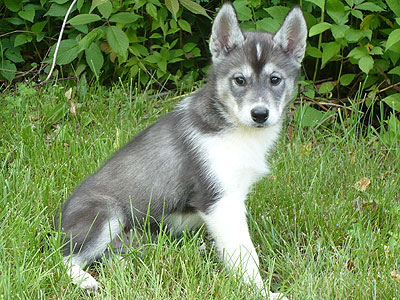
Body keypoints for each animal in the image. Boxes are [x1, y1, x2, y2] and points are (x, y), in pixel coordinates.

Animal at [56, 3, 306, 298]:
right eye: (240, 80)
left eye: (275, 79)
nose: (259, 114)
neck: (234, 128)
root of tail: (59, 221)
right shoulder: (218, 199)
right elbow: (245, 253)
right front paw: (260, 290)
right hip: (107, 212)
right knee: (63, 258)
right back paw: (84, 280)